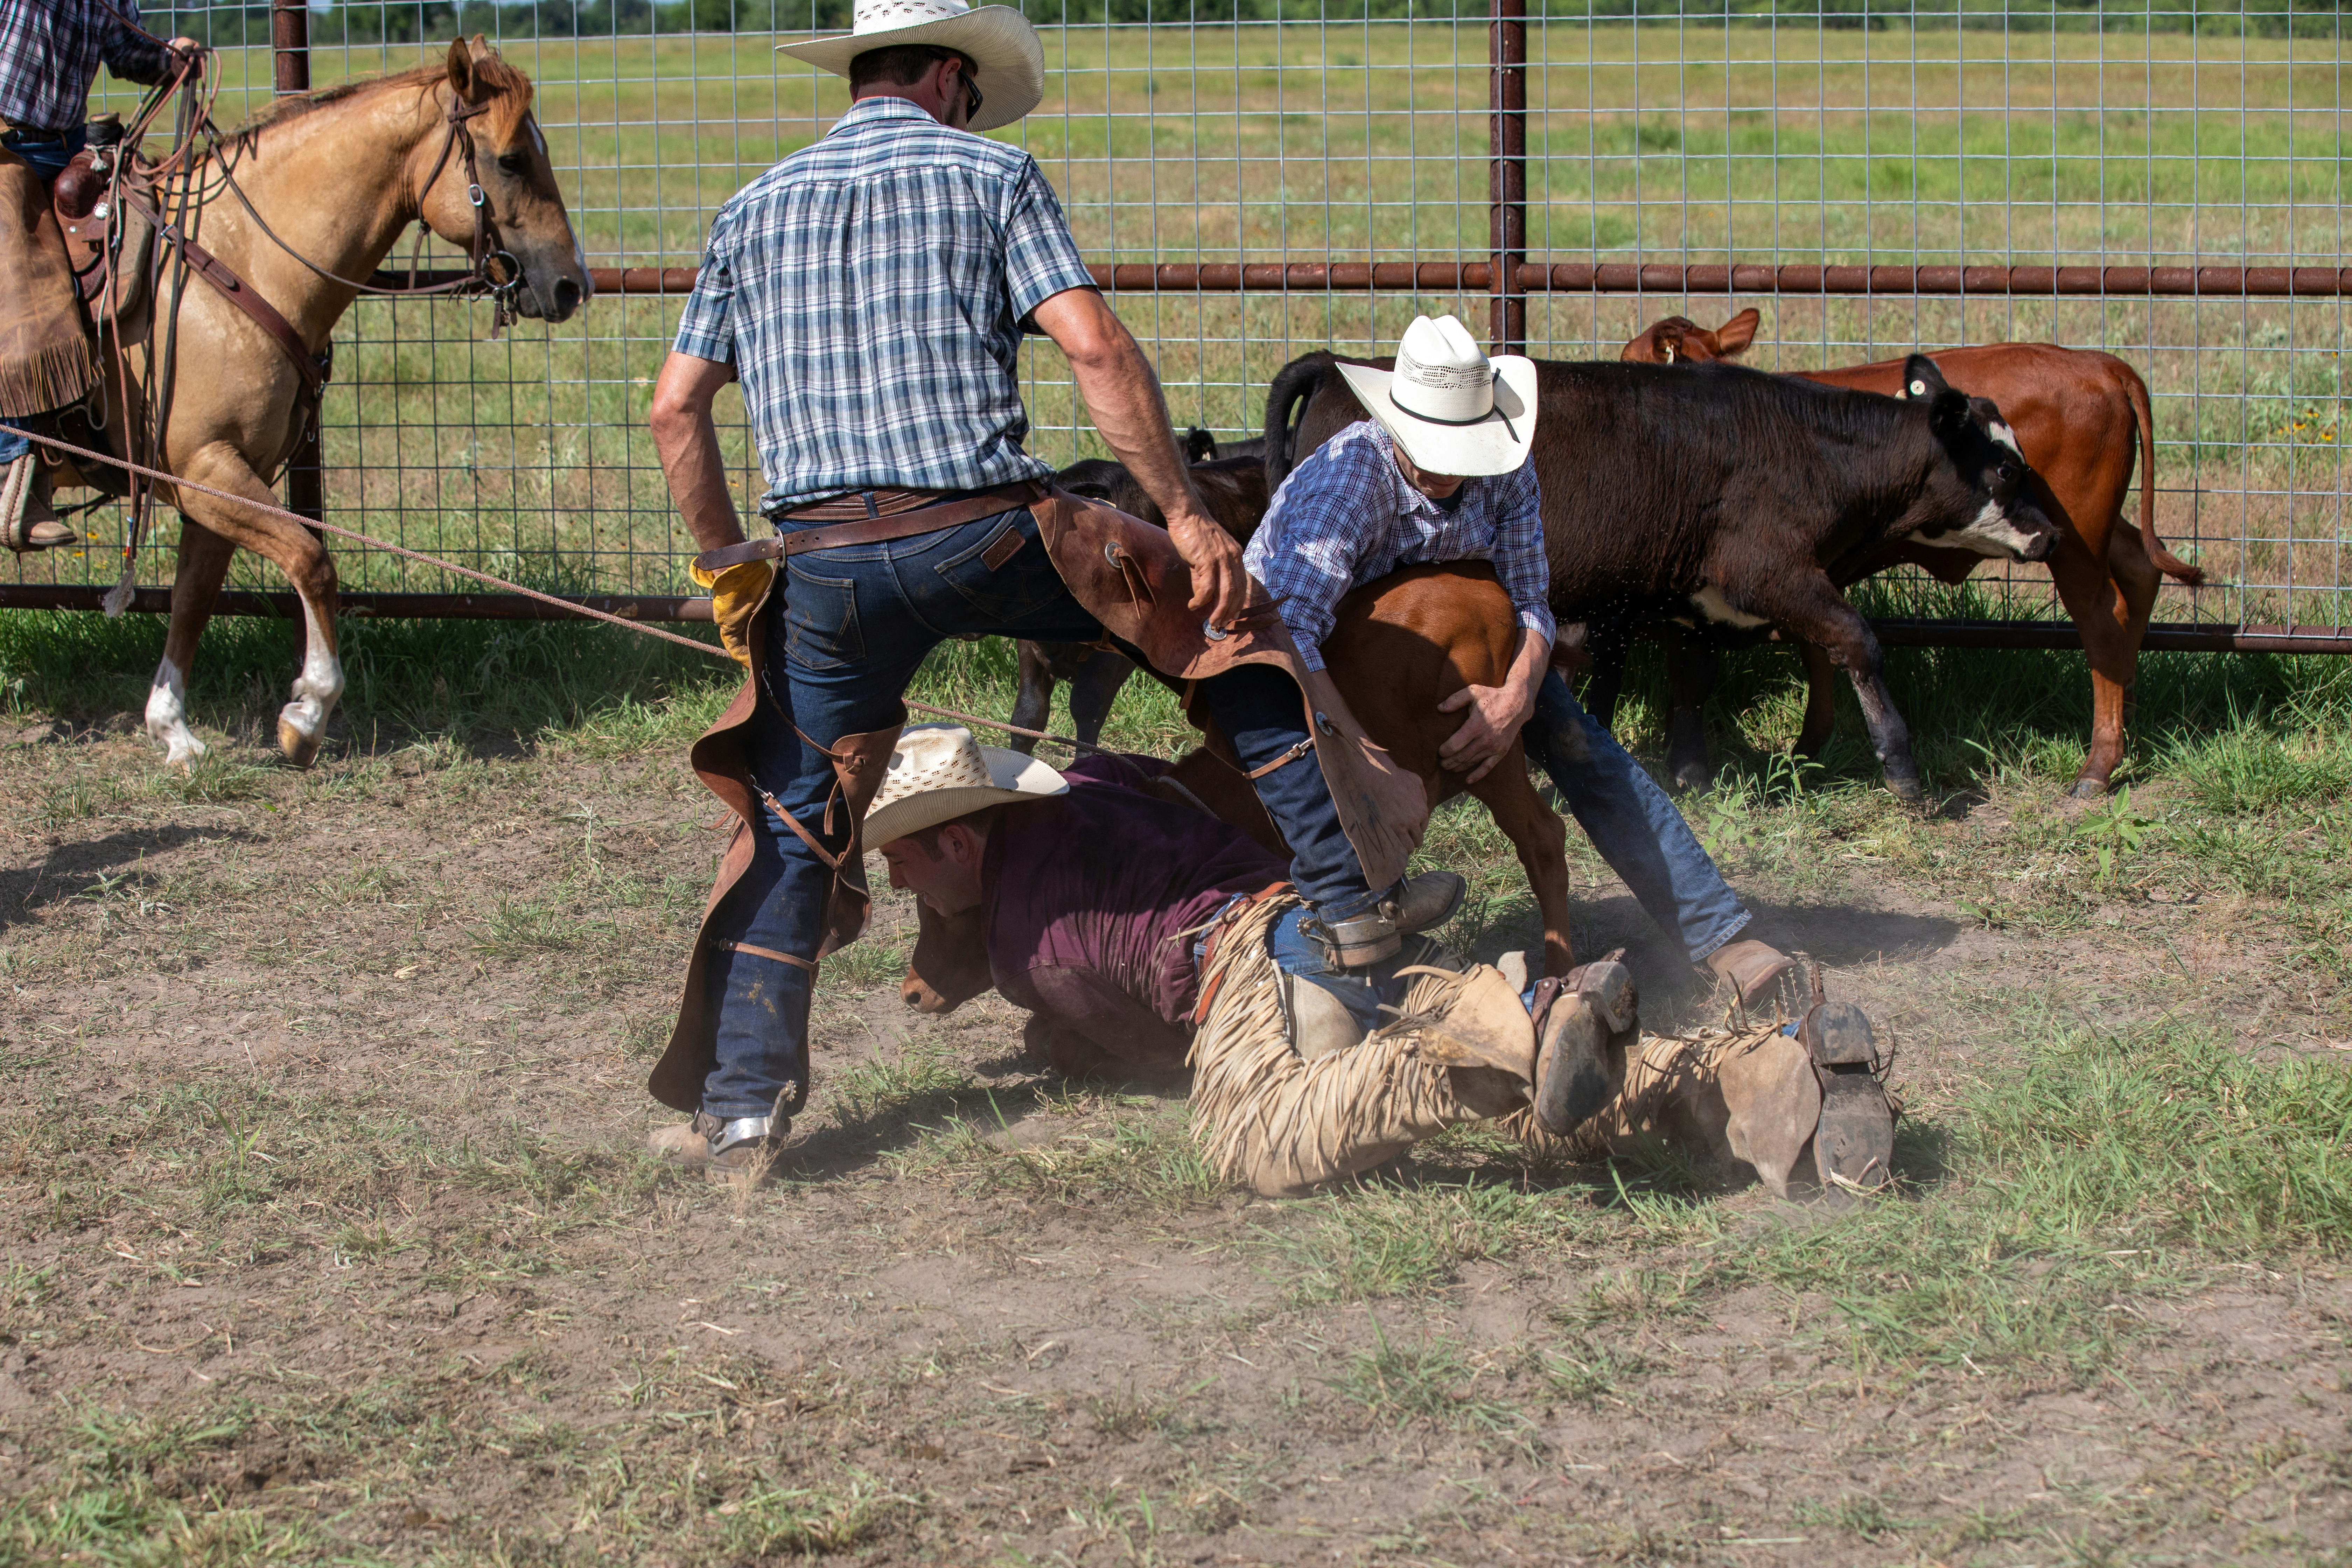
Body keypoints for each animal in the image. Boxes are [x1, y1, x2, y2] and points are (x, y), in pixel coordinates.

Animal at [47, 38, 589, 768]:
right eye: (510, 159)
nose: (571, 284)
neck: (230, 265)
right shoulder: (206, 468)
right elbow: (312, 560)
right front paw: (308, 713)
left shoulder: (221, 476)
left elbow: (194, 596)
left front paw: (173, 728)